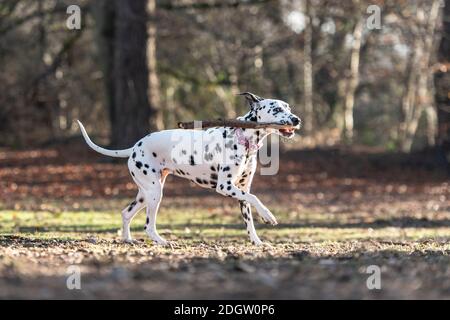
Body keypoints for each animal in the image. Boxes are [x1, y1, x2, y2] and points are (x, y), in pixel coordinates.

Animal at [78, 92, 300, 245]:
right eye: (276, 109)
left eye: (288, 107)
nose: (296, 119)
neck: (243, 137)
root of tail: (135, 146)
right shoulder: (225, 187)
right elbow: (255, 198)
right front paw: (268, 215)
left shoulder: (241, 190)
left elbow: (249, 218)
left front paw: (257, 241)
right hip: (155, 194)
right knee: (148, 225)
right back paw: (162, 242)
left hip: (145, 193)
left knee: (126, 213)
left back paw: (128, 239)